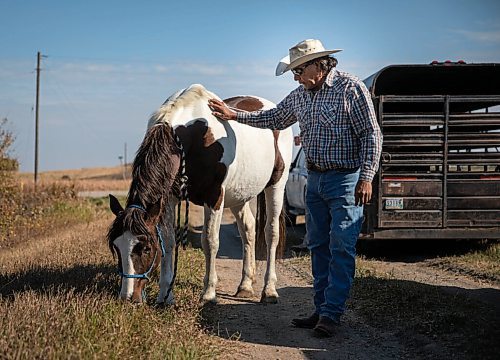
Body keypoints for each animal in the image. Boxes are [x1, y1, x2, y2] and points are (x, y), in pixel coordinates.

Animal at [106, 83, 292, 304]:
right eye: (116, 247)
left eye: (145, 248)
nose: (127, 297)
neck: (189, 136)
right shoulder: (168, 199)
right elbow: (169, 241)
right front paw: (165, 295)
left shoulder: (214, 197)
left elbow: (210, 241)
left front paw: (209, 292)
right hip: (240, 195)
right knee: (248, 229)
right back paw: (245, 285)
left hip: (276, 185)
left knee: (271, 233)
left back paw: (269, 290)